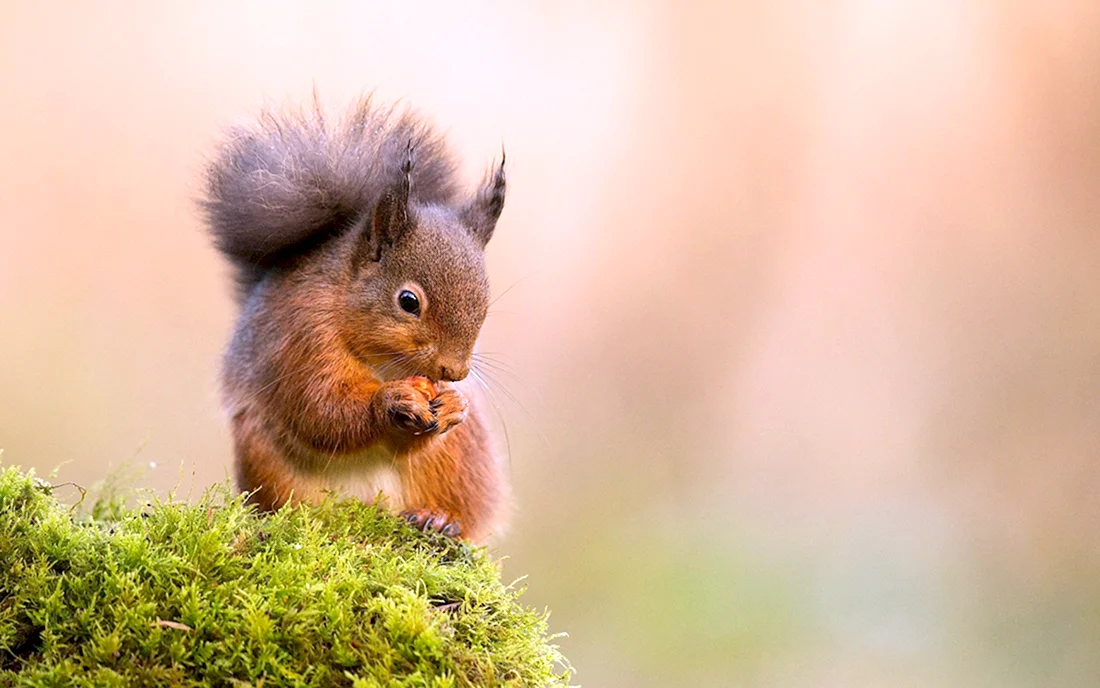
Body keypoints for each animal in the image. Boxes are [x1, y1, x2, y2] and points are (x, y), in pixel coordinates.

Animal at [201, 97, 508, 543]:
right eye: (408, 301)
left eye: (484, 303)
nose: (455, 371)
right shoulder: (301, 341)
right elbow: (322, 410)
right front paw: (391, 402)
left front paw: (454, 405)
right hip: (263, 457)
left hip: (461, 462)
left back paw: (438, 519)